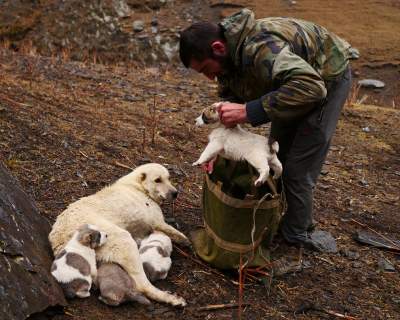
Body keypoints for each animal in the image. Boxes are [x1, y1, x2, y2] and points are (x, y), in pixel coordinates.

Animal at [48, 164, 189, 306]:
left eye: (168, 178)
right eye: (158, 180)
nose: (175, 193)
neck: (138, 187)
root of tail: (60, 240)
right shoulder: (156, 221)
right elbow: (172, 231)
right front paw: (185, 240)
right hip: (121, 239)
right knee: (142, 285)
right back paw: (172, 299)